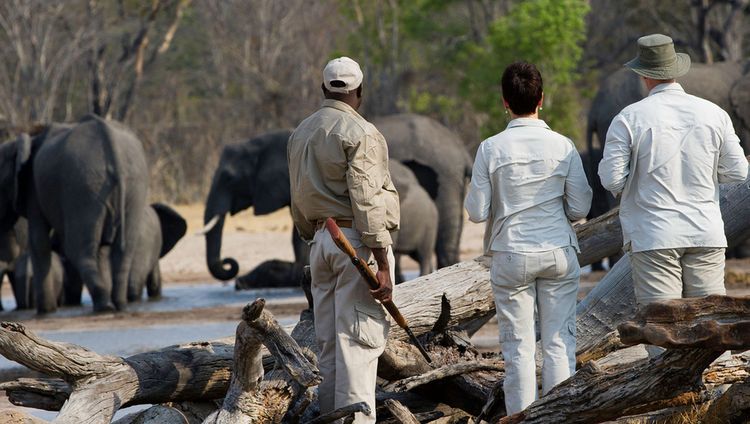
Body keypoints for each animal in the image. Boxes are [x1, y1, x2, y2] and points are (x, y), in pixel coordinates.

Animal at [0, 114, 149, 314]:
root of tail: (110, 141)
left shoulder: (33, 188)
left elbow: (38, 242)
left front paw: (46, 312)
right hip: (134, 185)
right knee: (122, 249)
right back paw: (119, 305)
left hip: (83, 185)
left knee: (79, 249)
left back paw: (104, 306)